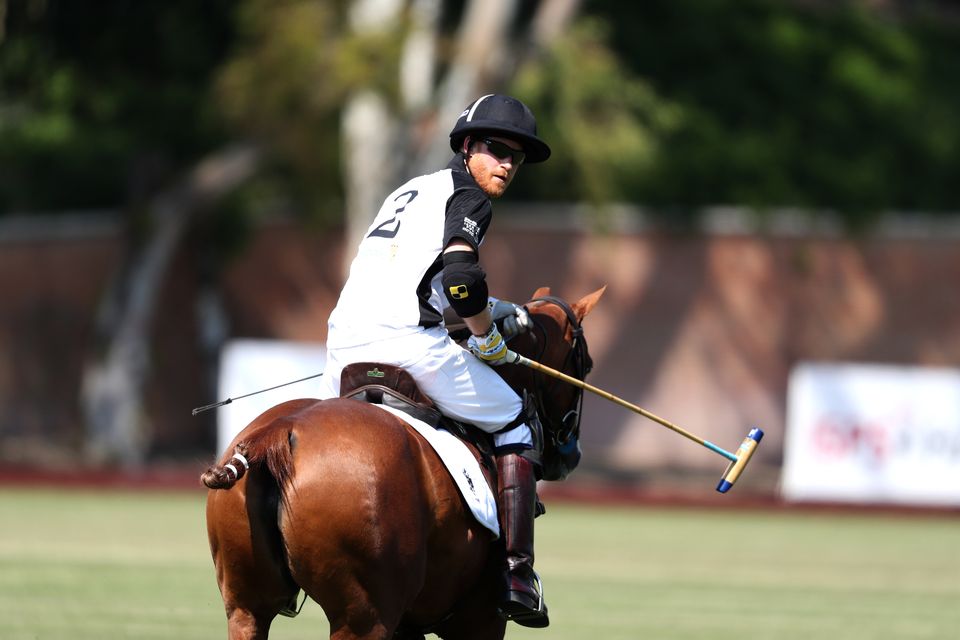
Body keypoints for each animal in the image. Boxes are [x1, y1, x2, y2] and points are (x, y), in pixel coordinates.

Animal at [202, 288, 604, 636]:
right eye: (584, 364)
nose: (571, 456)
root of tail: (279, 430)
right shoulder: (480, 619)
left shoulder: (409, 625)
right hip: (365, 616)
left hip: (246, 607)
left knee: (248, 614)